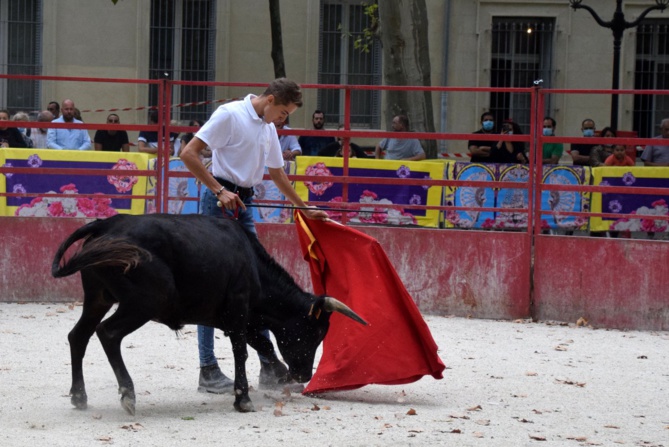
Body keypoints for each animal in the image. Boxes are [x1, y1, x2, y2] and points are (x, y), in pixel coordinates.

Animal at [51, 215, 366, 414]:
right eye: (314, 332)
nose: (303, 374)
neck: (252, 265)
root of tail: (105, 223)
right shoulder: (238, 309)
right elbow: (242, 351)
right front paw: (243, 398)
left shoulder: (239, 319)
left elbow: (262, 343)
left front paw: (275, 375)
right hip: (144, 302)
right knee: (108, 333)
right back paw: (128, 394)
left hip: (98, 298)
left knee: (78, 336)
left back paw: (79, 396)